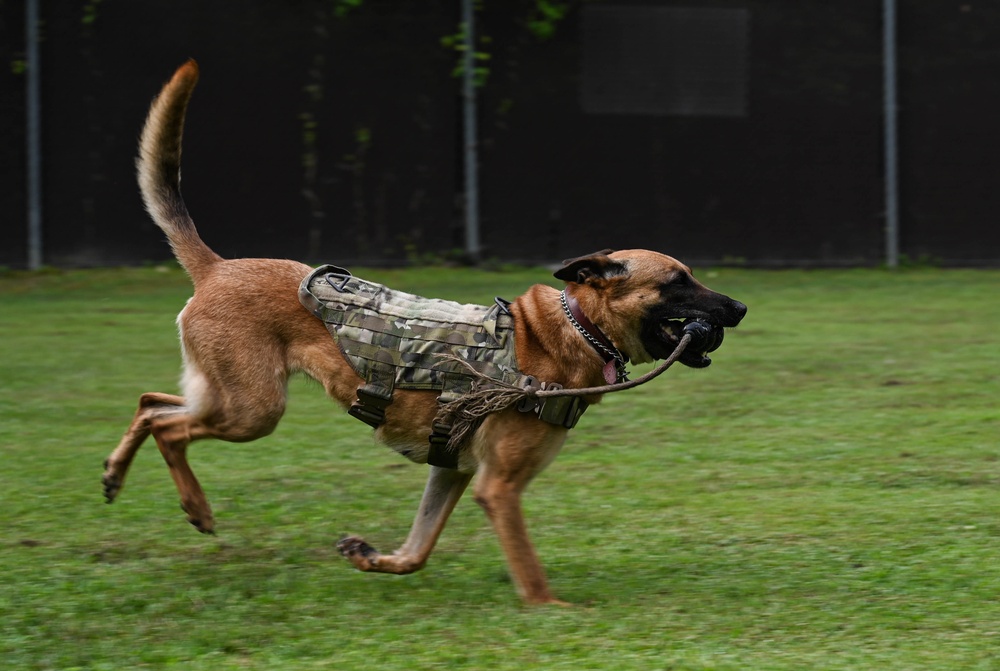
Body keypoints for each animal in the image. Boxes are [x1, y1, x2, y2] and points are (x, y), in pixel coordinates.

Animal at [105, 63, 748, 608]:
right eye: (678, 281)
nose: (741, 307)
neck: (572, 332)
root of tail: (216, 266)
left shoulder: (452, 470)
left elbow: (417, 549)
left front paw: (371, 558)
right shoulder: (498, 487)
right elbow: (530, 572)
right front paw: (556, 611)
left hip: (229, 396)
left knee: (150, 403)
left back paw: (115, 474)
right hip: (253, 410)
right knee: (169, 426)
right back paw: (196, 506)